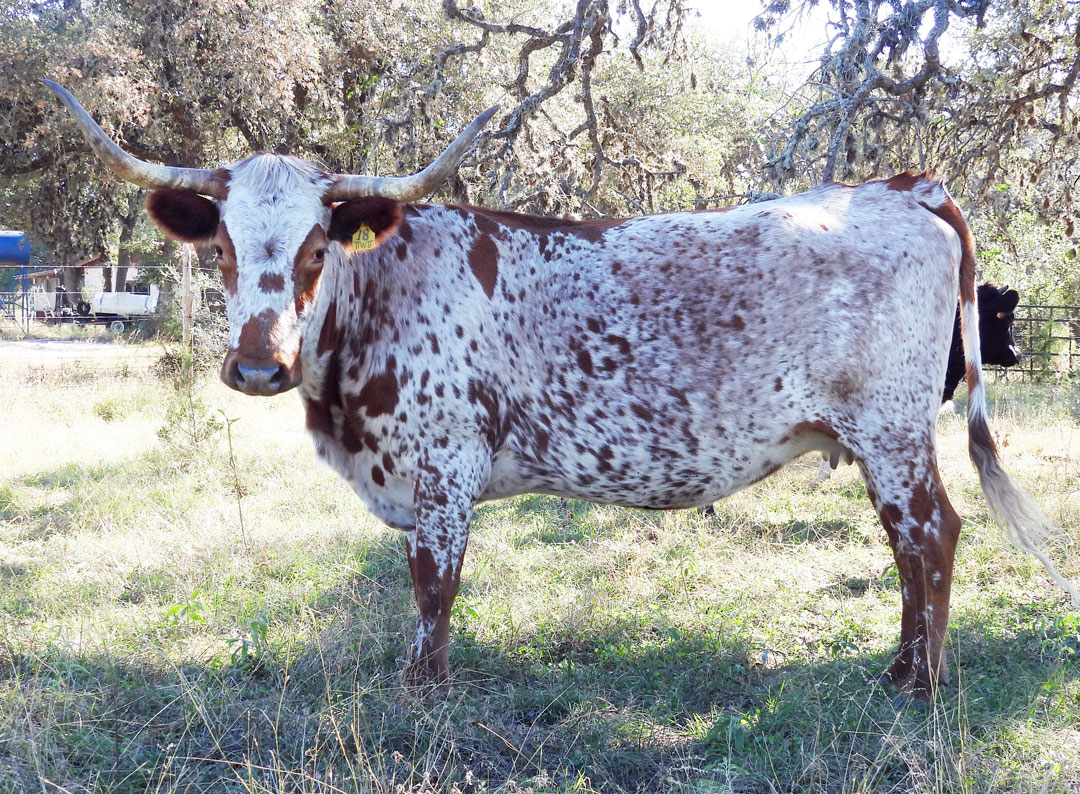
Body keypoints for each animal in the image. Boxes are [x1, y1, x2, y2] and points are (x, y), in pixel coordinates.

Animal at [50, 82, 1080, 700]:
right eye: (222, 248)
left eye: (312, 248)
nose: (258, 365)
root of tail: (903, 186)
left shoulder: (445, 467)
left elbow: (433, 581)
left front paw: (424, 692)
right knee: (909, 546)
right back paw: (897, 668)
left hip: (892, 430)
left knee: (930, 536)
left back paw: (919, 684)